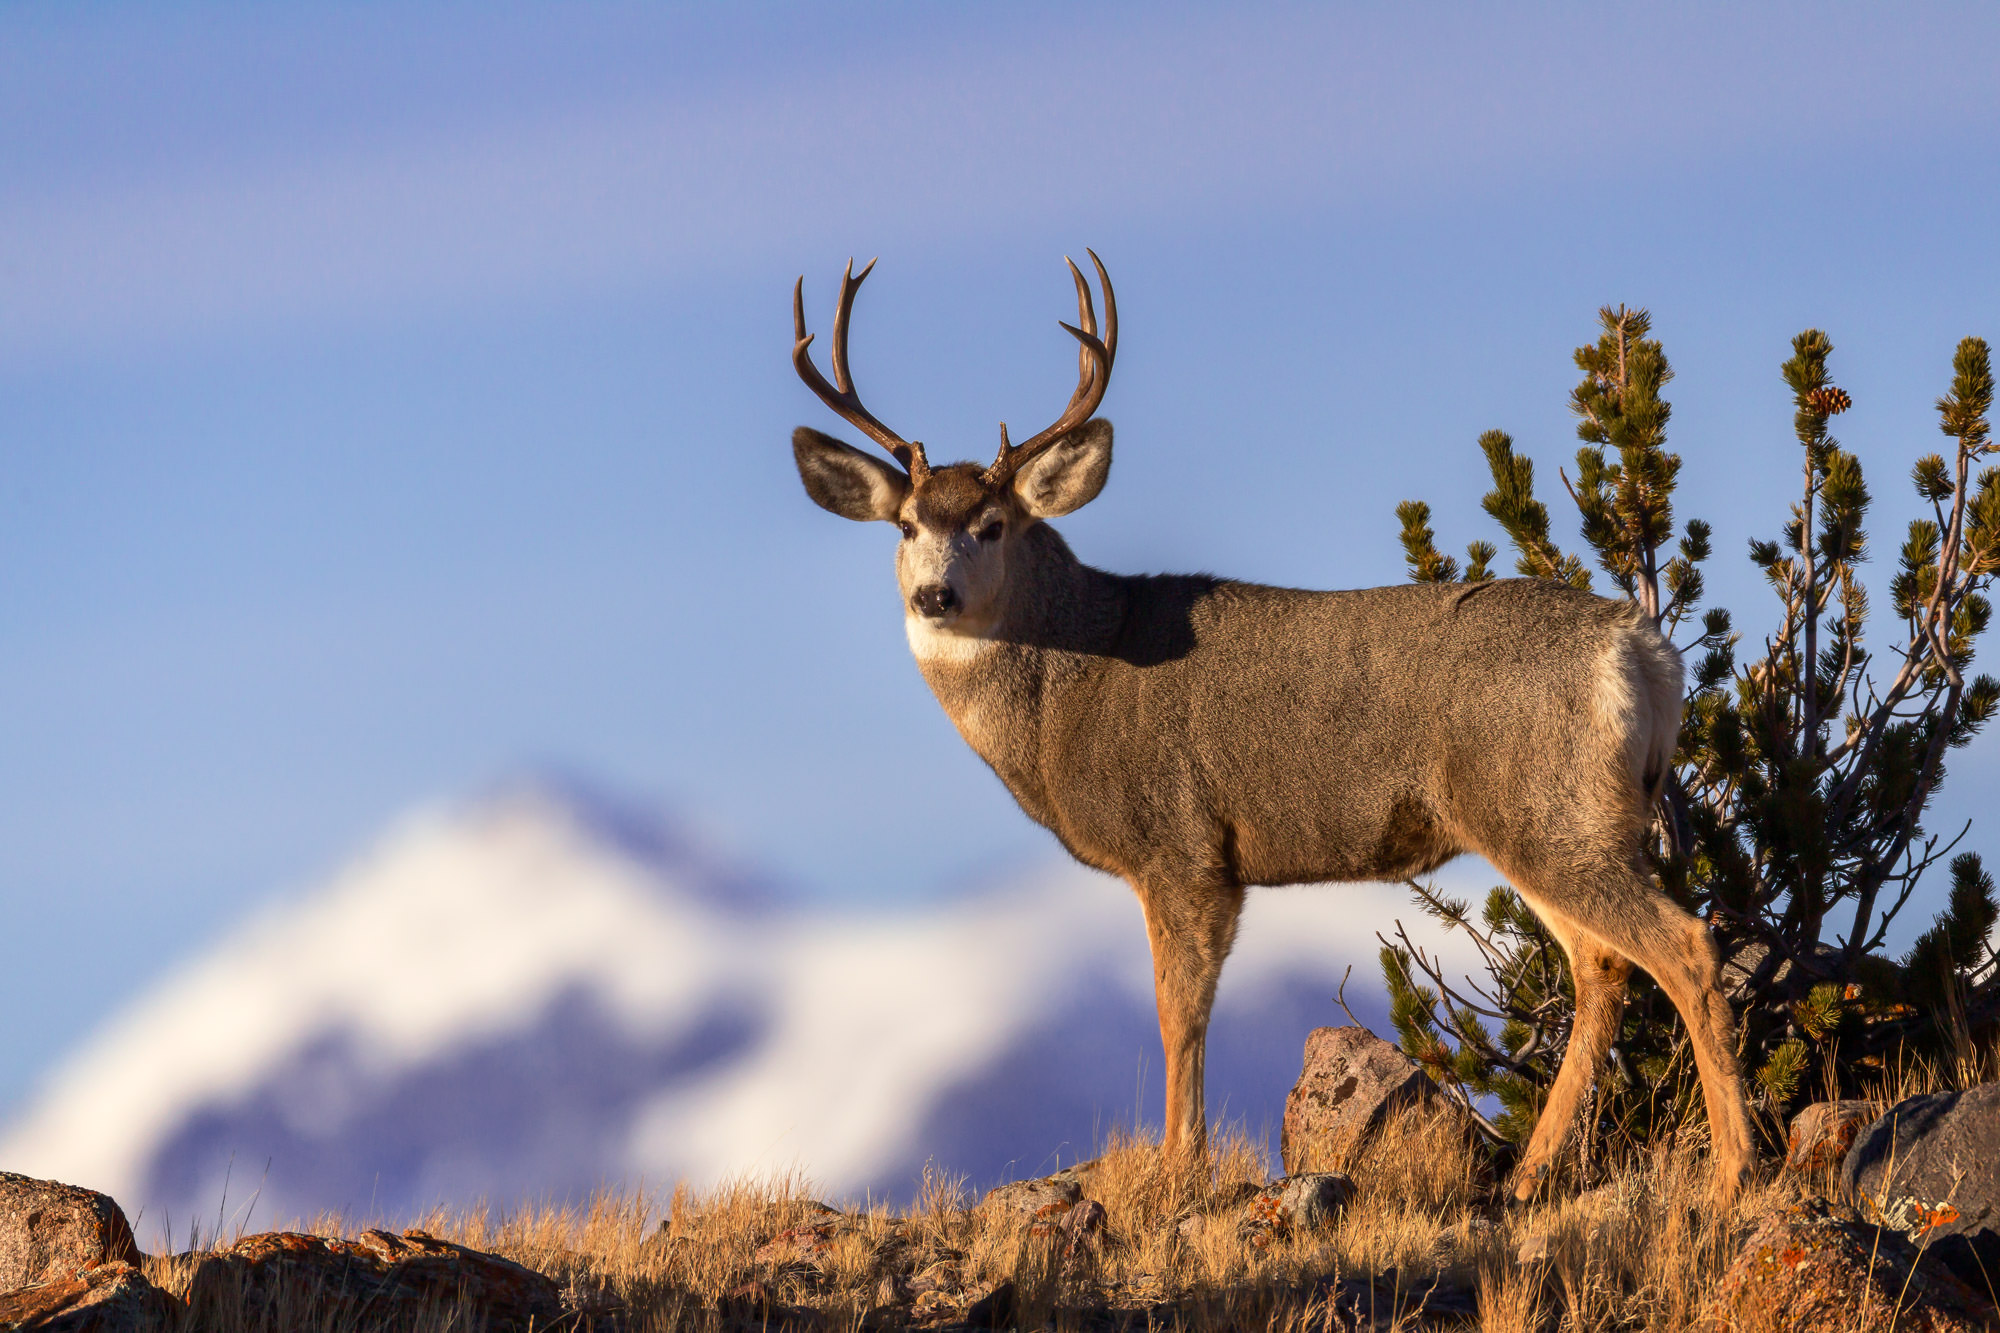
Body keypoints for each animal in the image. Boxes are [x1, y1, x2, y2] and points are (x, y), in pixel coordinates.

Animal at [786, 252, 1755, 1203]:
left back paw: (1732, 1172)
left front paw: (1179, 1172)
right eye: (906, 524)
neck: (1071, 685)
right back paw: (1531, 1174)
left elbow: (1178, 1011)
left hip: (1545, 810)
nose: (934, 595)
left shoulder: (1180, 844)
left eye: (991, 526)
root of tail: (1642, 647)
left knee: (1683, 946)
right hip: (1561, 819)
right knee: (1605, 966)